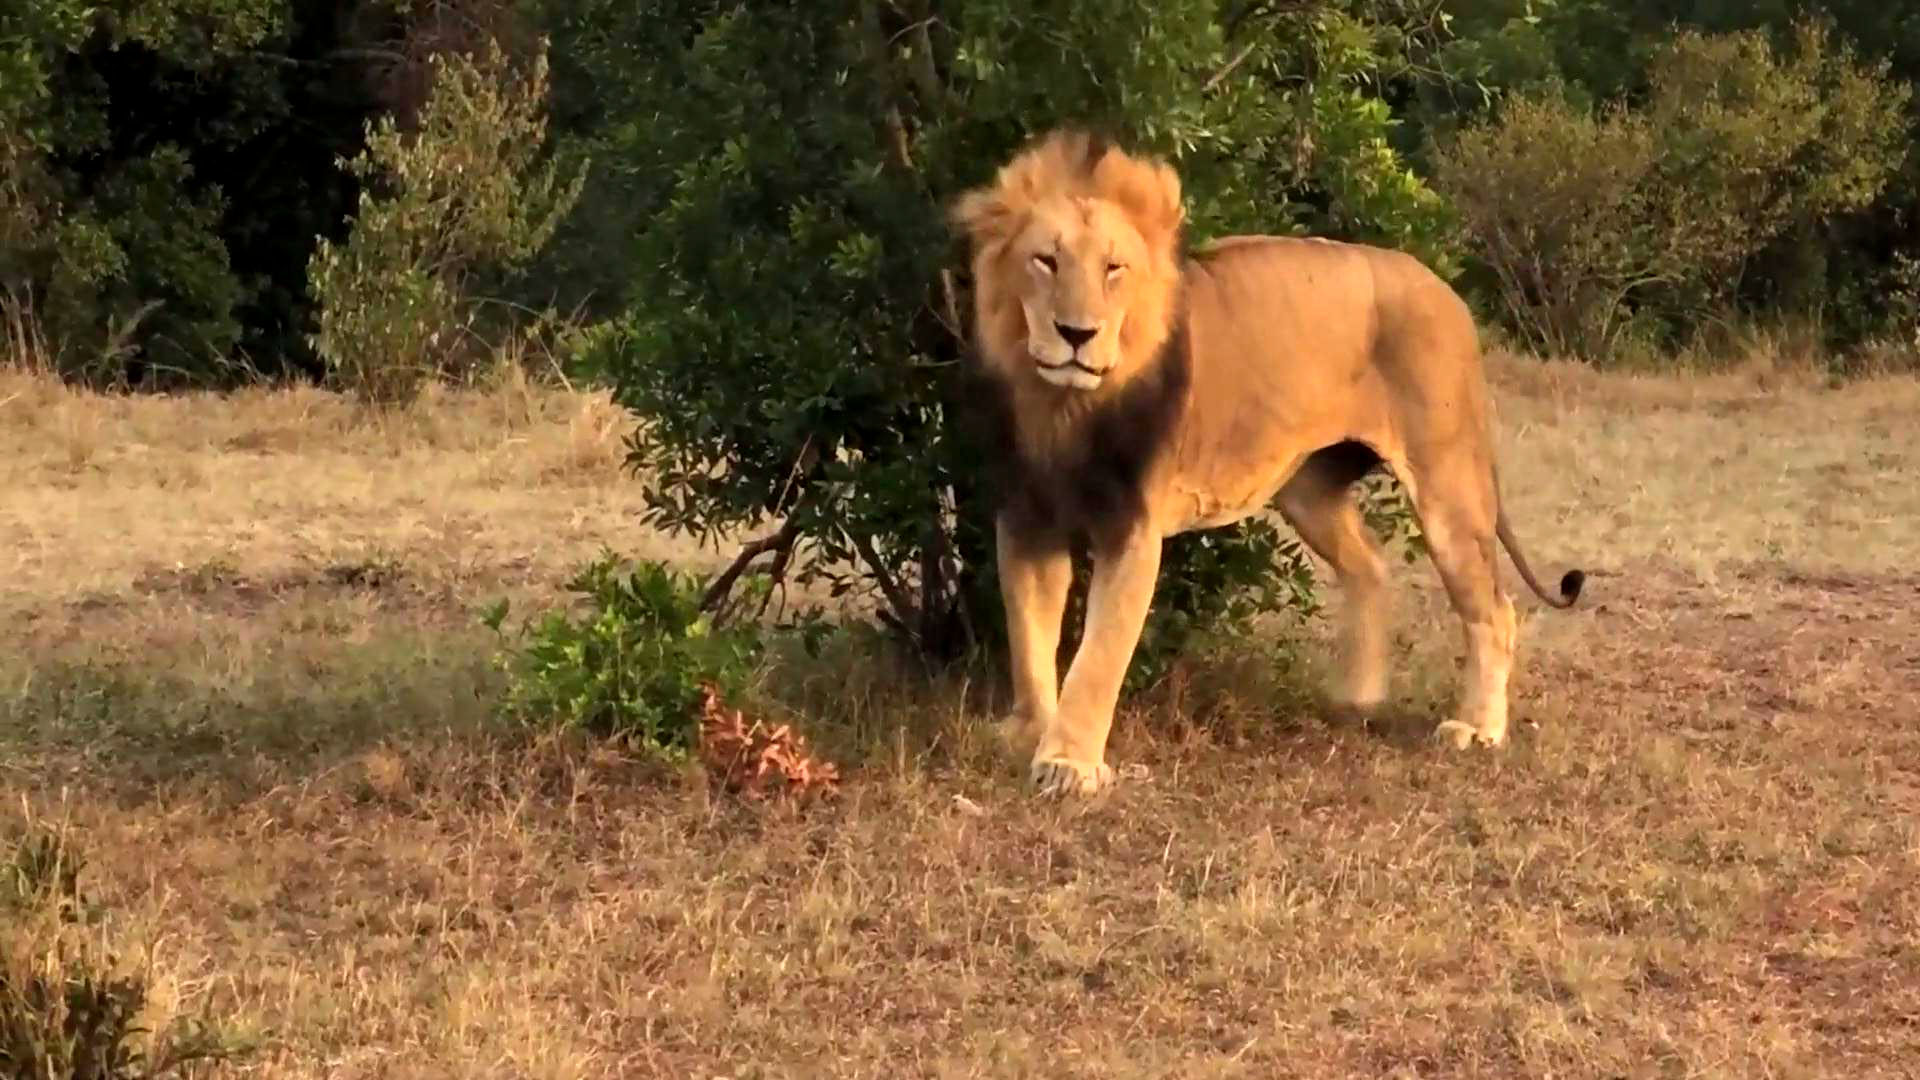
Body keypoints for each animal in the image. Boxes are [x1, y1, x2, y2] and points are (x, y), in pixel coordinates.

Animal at [948, 130, 1589, 795]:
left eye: (1113, 268)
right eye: (1045, 261)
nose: (1076, 334)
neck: (1066, 407)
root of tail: (1449, 292)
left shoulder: (1132, 530)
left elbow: (1099, 656)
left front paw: (1069, 763)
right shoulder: (1027, 517)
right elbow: (1029, 635)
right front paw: (1028, 731)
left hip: (1447, 485)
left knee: (1493, 609)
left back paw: (1478, 728)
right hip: (1308, 488)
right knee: (1370, 565)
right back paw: (1356, 695)